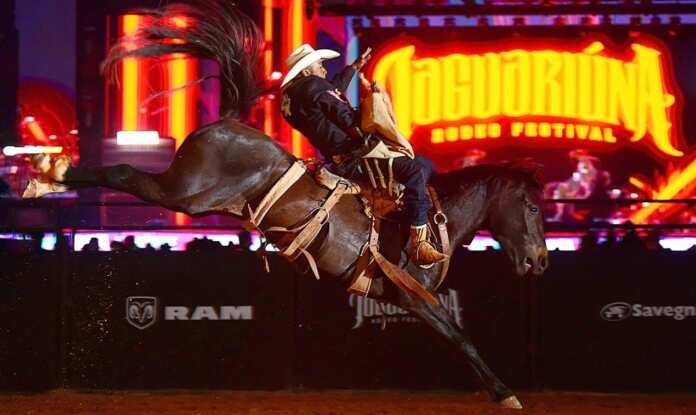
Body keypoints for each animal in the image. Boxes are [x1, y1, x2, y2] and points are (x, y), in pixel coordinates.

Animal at [23, 0, 548, 410]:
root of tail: (228, 120)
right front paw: (506, 393)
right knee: (122, 175)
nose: (540, 261)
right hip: (185, 192)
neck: (439, 218)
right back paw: (50, 174)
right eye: (534, 209)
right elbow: (462, 338)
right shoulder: (414, 296)